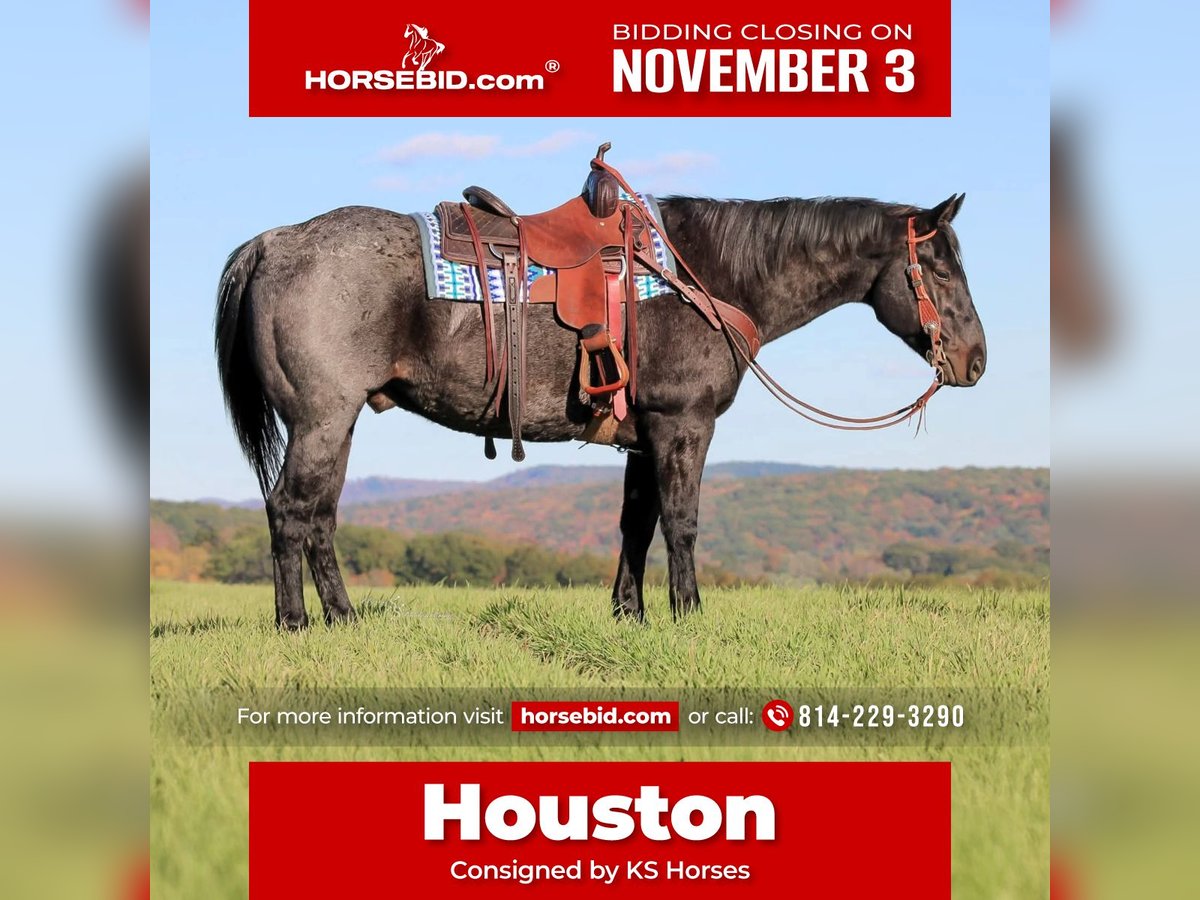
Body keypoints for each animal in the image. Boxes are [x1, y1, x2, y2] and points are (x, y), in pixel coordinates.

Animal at [215, 192, 986, 629]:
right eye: (939, 267)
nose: (975, 360)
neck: (704, 275)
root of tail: (275, 241)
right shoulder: (683, 423)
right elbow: (681, 521)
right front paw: (687, 616)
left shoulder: (645, 436)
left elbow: (635, 525)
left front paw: (630, 614)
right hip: (320, 420)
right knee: (291, 511)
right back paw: (295, 624)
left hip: (335, 424)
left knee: (319, 516)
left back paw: (344, 619)